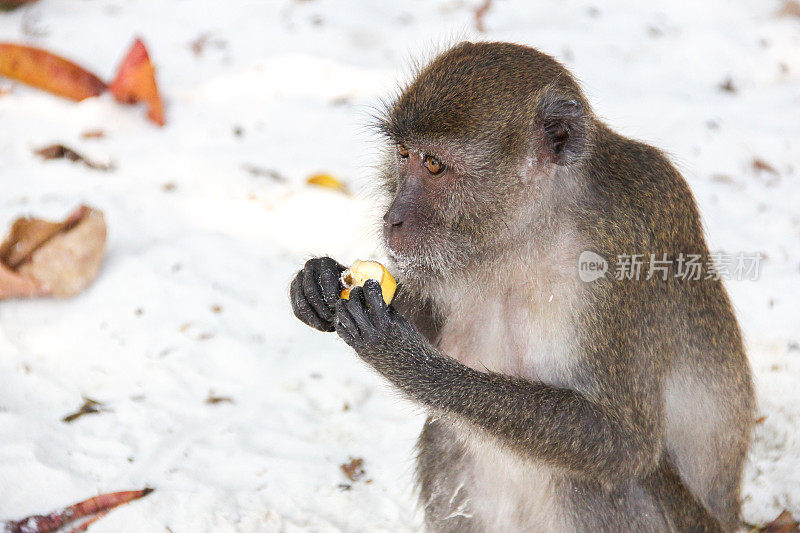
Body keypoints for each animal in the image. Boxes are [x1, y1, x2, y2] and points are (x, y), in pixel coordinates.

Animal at [290, 42, 756, 532]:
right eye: (403, 154)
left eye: (433, 164)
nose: (392, 218)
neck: (531, 229)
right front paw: (323, 281)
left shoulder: (625, 250)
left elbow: (627, 443)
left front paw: (407, 361)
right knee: (445, 437)